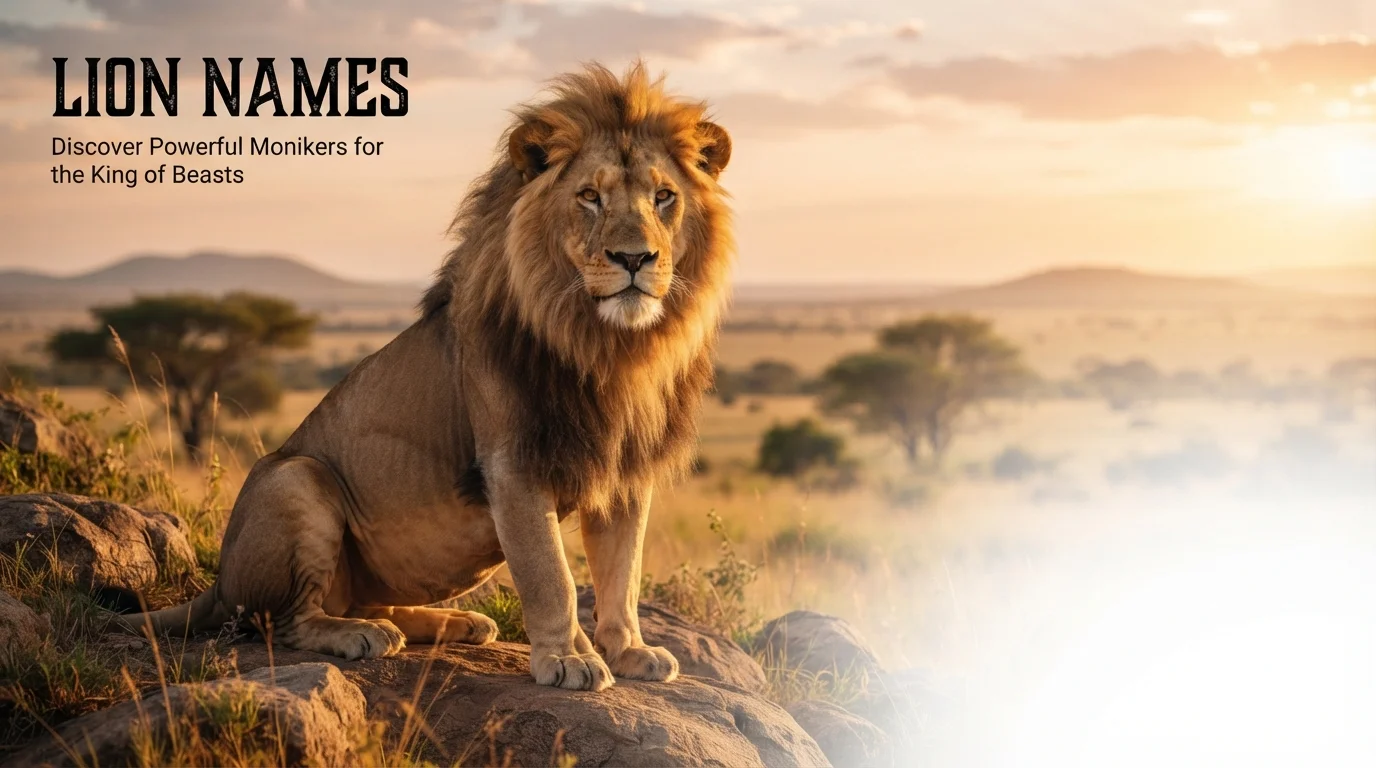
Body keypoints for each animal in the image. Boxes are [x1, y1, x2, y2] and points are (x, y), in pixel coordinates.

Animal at [118, 62, 734, 691]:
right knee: (284, 621)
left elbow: (622, 572)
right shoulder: (512, 464)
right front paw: (568, 658)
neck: (611, 347)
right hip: (296, 479)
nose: (635, 259)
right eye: (590, 197)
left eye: (663, 197)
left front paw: (630, 649)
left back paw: (455, 624)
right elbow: (551, 576)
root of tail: (218, 583)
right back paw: (362, 635)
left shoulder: (626, 470)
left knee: (368, 603)